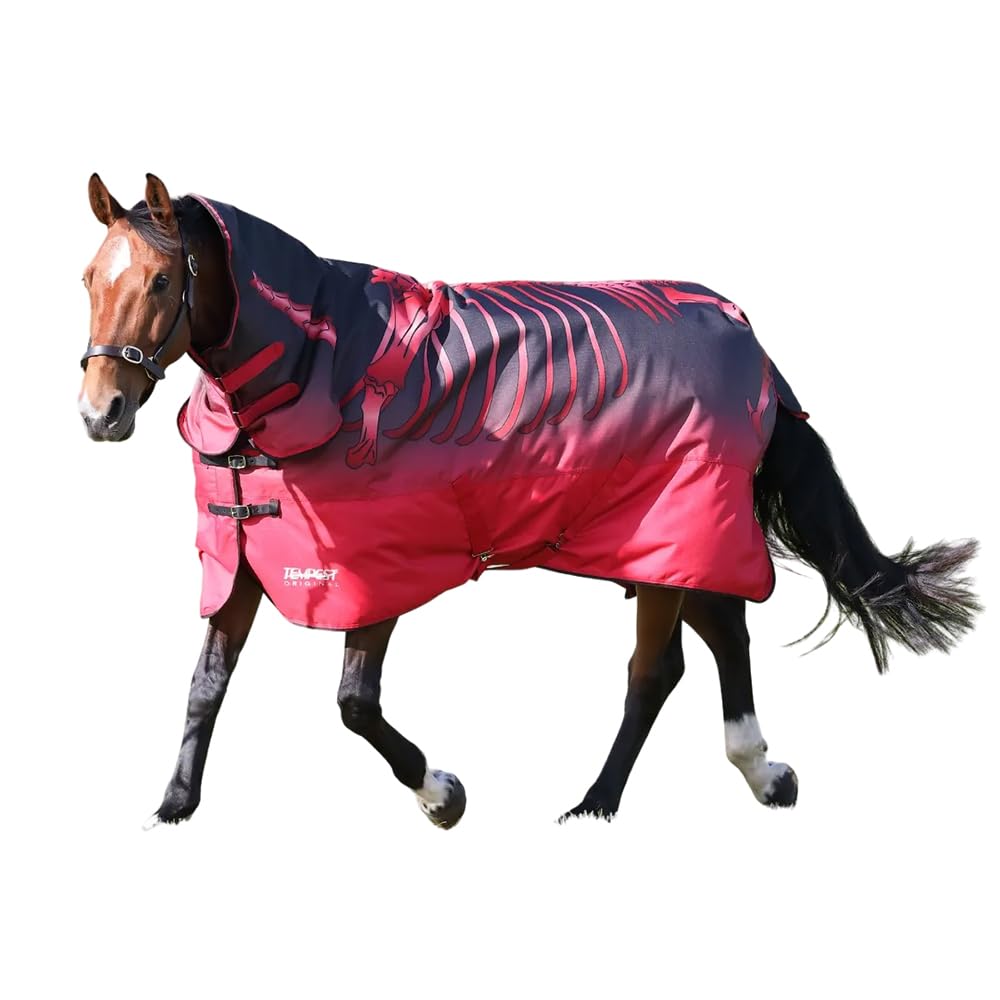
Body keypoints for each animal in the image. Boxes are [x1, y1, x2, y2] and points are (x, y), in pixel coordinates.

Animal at [78, 173, 981, 828]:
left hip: (672, 529)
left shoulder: (377, 571)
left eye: (161, 280)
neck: (323, 369)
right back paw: (763, 772)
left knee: (655, 670)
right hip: (663, 543)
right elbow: (205, 684)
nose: (100, 412)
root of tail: (747, 338)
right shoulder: (244, 559)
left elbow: (354, 705)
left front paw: (441, 793)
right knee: (723, 630)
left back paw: (596, 805)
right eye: (88, 277)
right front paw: (172, 809)